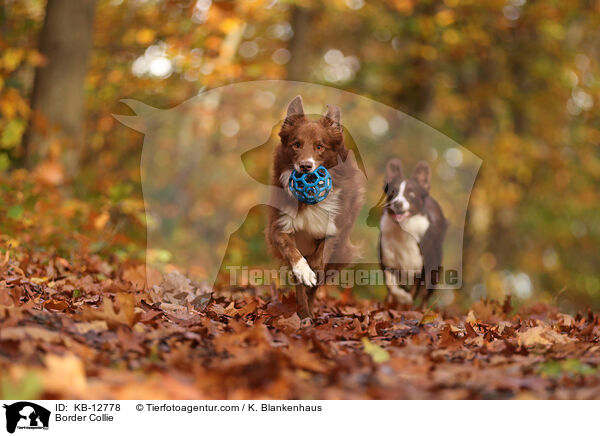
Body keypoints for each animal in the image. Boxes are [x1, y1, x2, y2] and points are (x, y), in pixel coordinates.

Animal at [268, 96, 364, 320]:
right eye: (296, 145)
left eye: (320, 146)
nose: (305, 166)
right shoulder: (279, 227)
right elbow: (293, 253)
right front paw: (305, 272)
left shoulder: (335, 229)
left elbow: (320, 258)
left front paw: (314, 272)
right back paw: (304, 314)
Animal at [380, 158, 446, 304]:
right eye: (392, 192)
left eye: (411, 194)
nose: (397, 203)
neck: (403, 230)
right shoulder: (387, 261)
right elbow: (391, 284)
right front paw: (400, 297)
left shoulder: (423, 270)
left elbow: (414, 292)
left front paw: (407, 302)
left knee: (426, 295)